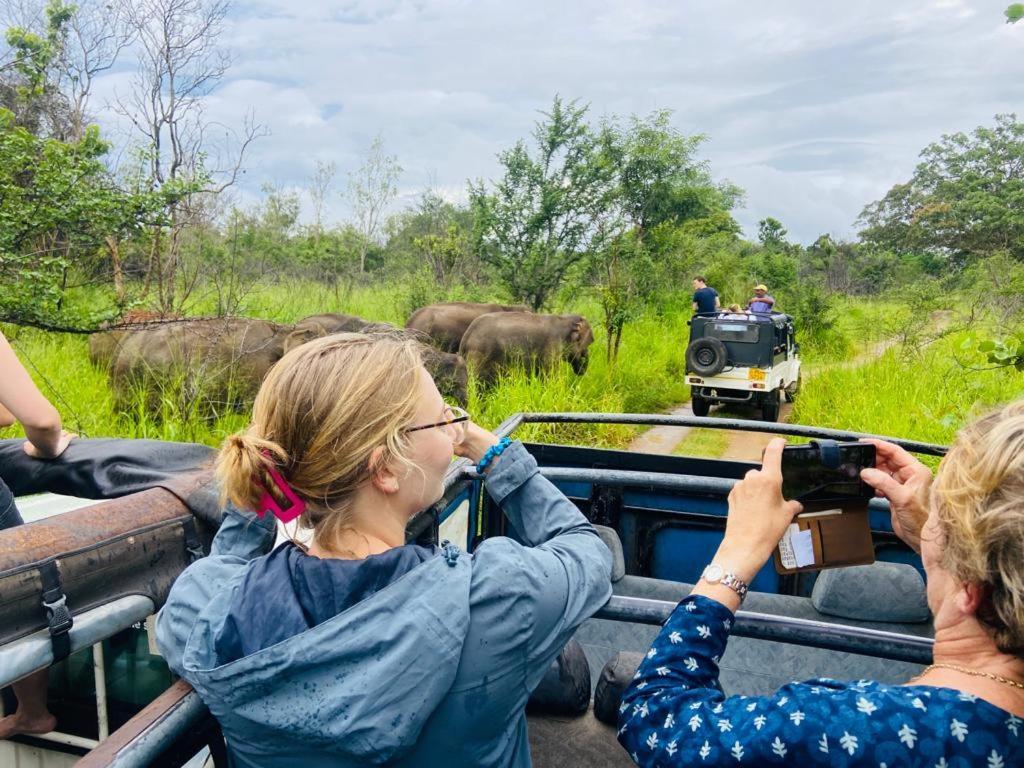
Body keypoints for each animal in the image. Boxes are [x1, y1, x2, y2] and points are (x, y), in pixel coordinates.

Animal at [460, 311, 598, 387]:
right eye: (588, 343)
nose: (581, 372)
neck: (563, 319)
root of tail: (466, 336)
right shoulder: (552, 346)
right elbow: (550, 374)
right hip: (479, 355)